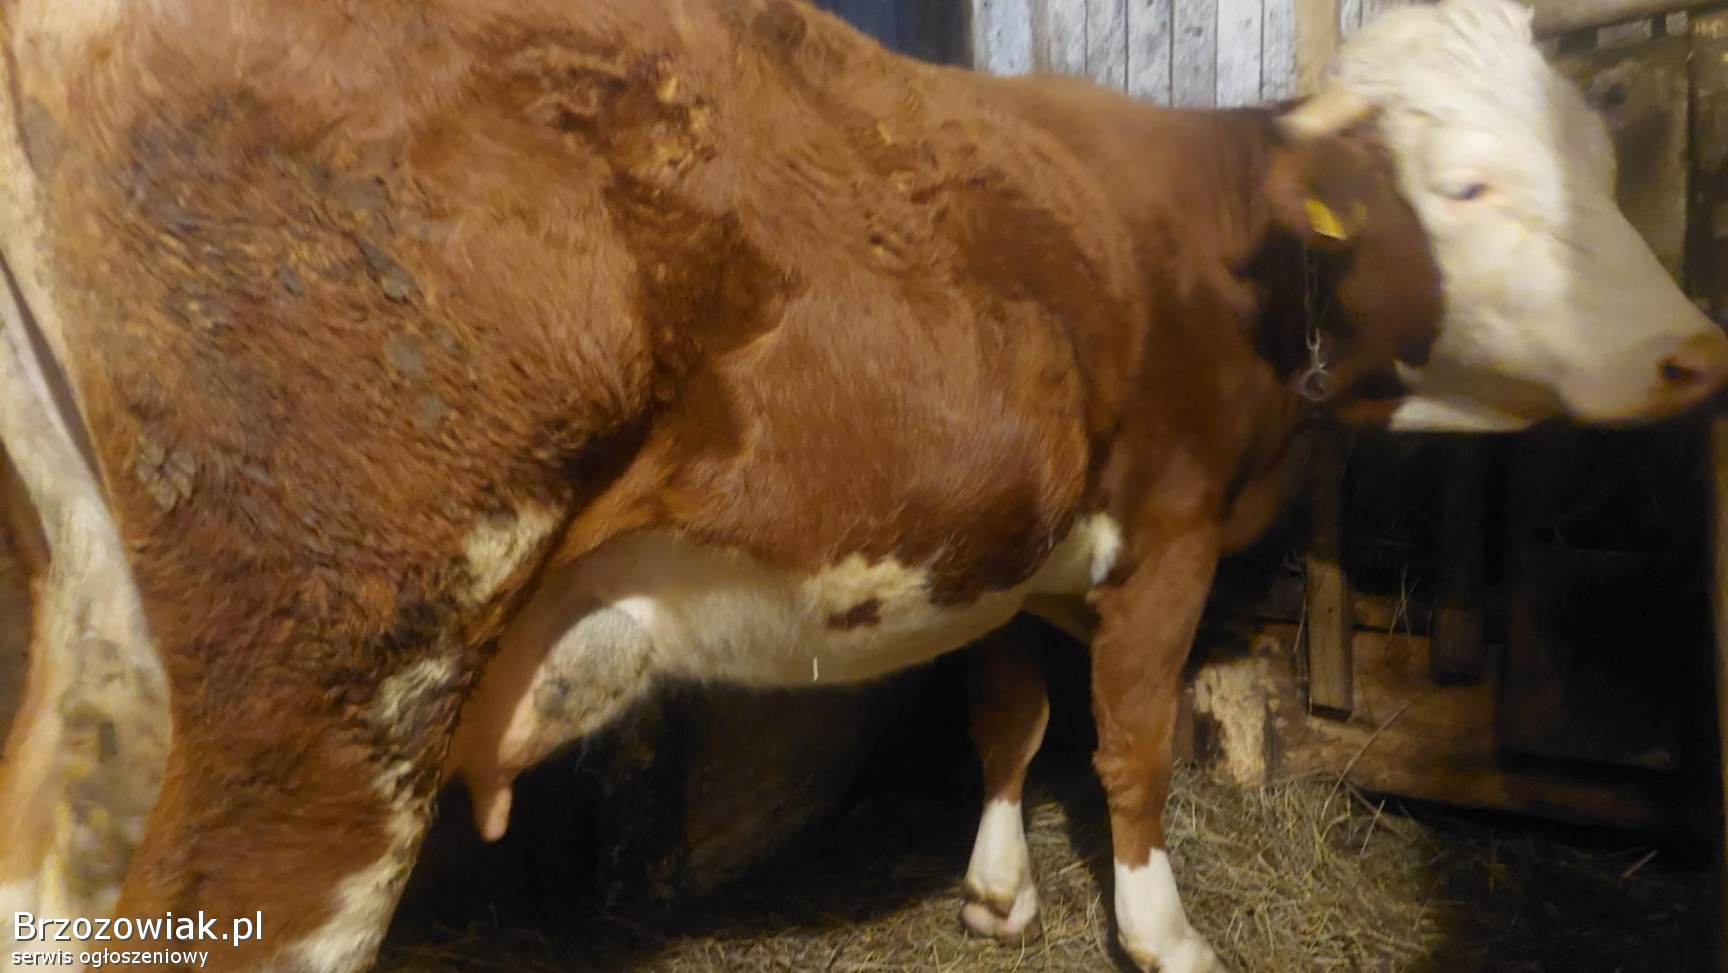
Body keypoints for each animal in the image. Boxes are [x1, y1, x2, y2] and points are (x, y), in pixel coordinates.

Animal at [1, 0, 1723, 971]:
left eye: (1599, 159)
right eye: (1468, 187)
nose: (1694, 349)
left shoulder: (1014, 539)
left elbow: (1007, 711)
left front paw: (997, 892)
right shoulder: (1162, 530)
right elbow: (1135, 742)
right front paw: (1164, 934)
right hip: (323, 690)